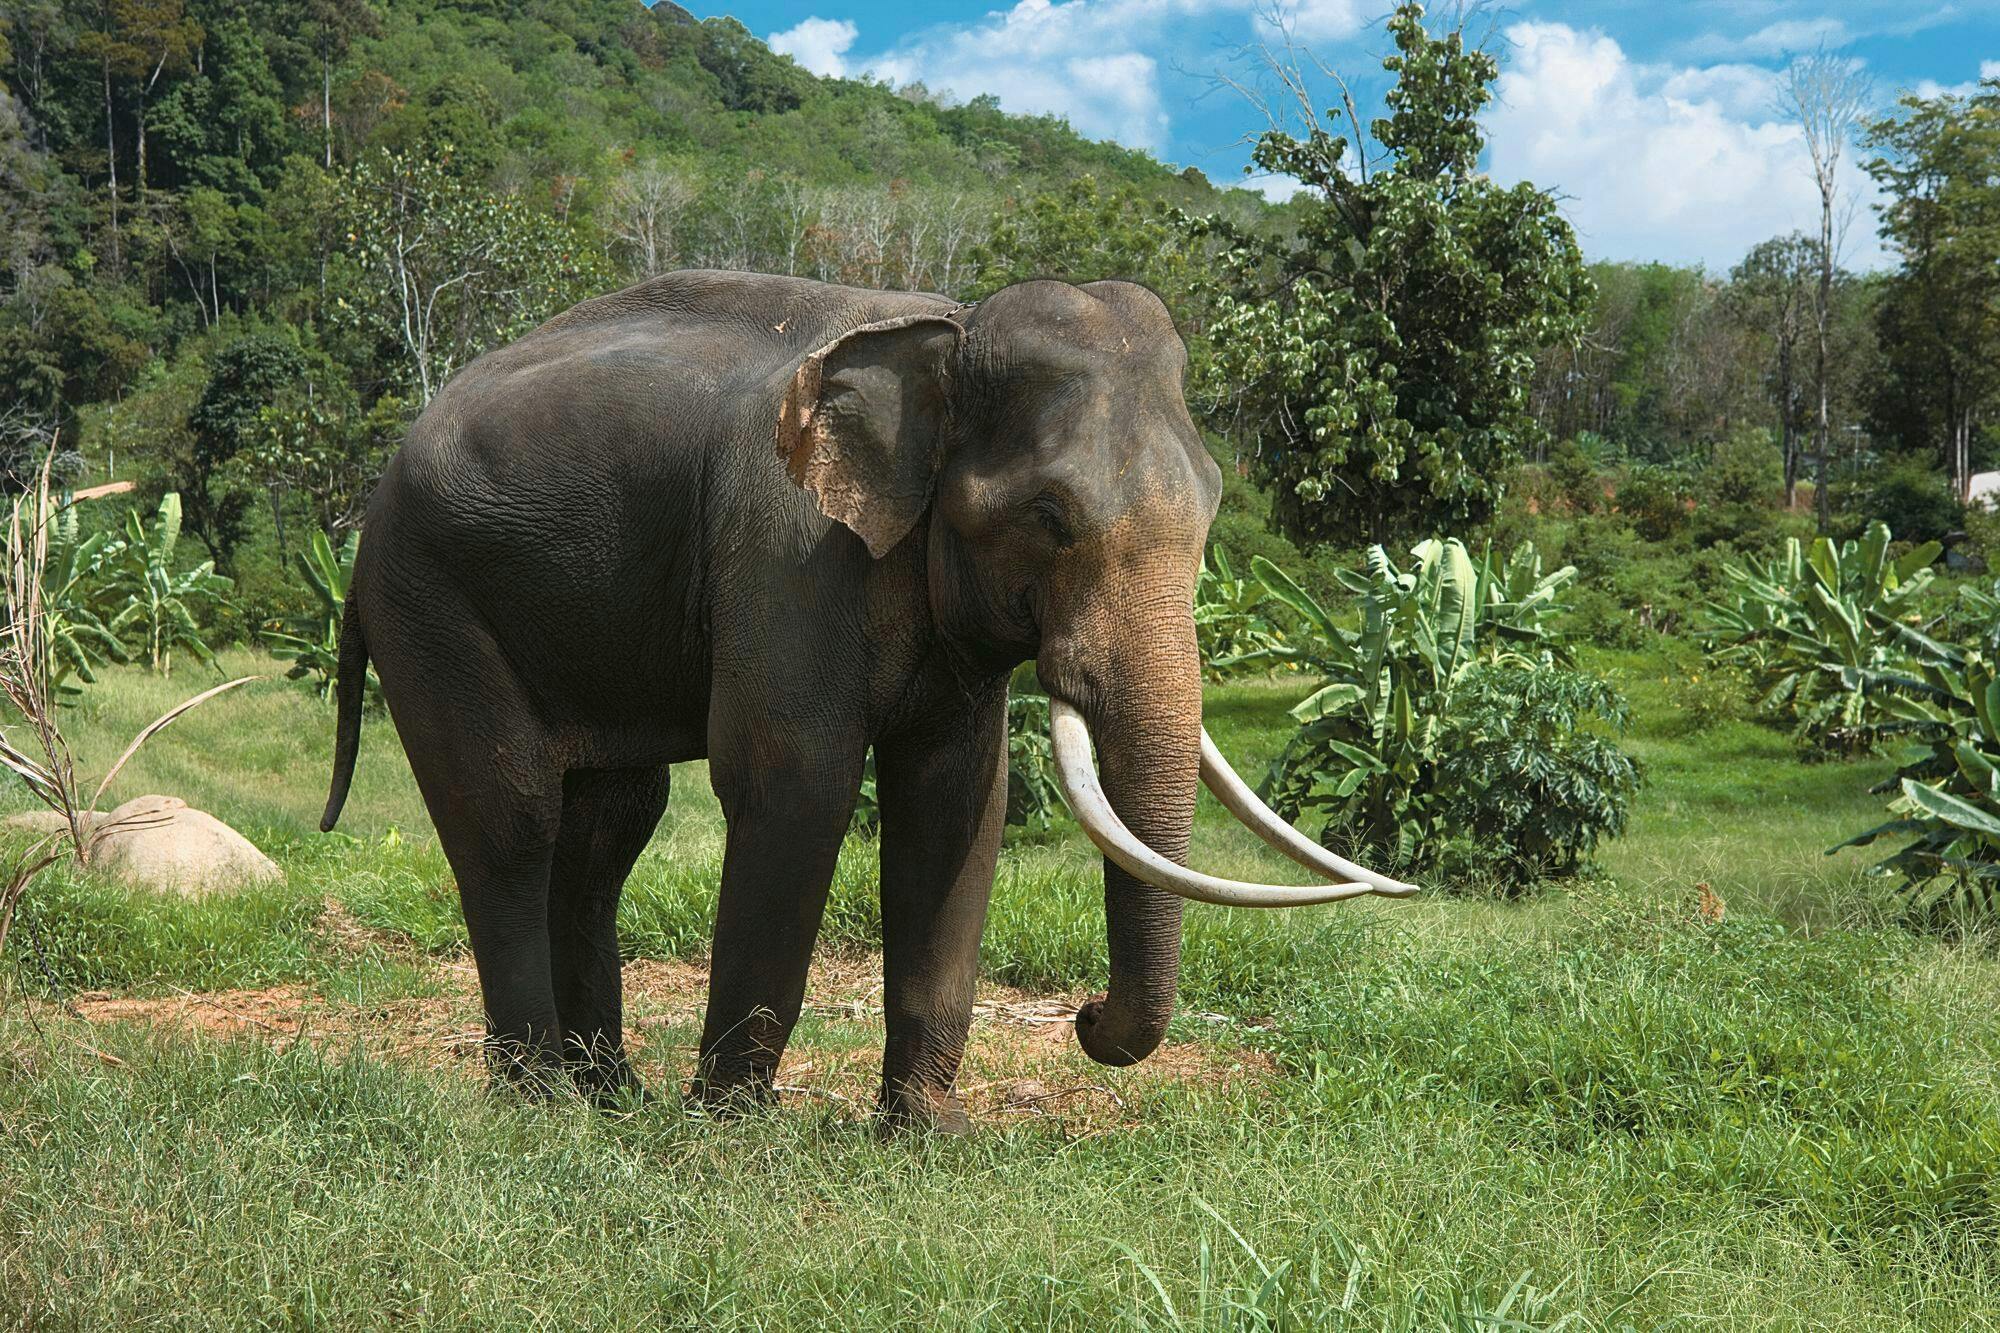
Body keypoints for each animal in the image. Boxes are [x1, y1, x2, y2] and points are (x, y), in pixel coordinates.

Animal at [320, 274, 1416, 1128]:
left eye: (1215, 504)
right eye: (1048, 516)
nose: (1083, 1017)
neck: (947, 331)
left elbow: (955, 801)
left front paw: (928, 1133)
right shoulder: (785, 548)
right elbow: (795, 782)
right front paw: (730, 1131)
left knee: (606, 830)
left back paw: (610, 1096)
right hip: (430, 602)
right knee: (511, 821)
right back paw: (543, 1105)